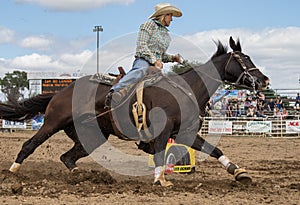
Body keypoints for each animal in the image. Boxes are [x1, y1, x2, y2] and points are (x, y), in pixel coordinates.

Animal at [0, 36, 270, 186]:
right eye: (244, 59)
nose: (264, 80)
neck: (185, 89)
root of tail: (60, 92)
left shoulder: (186, 132)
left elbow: (215, 150)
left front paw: (240, 173)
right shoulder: (162, 132)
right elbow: (160, 156)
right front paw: (160, 181)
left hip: (91, 136)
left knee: (68, 157)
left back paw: (82, 178)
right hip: (52, 122)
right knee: (30, 145)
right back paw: (12, 173)